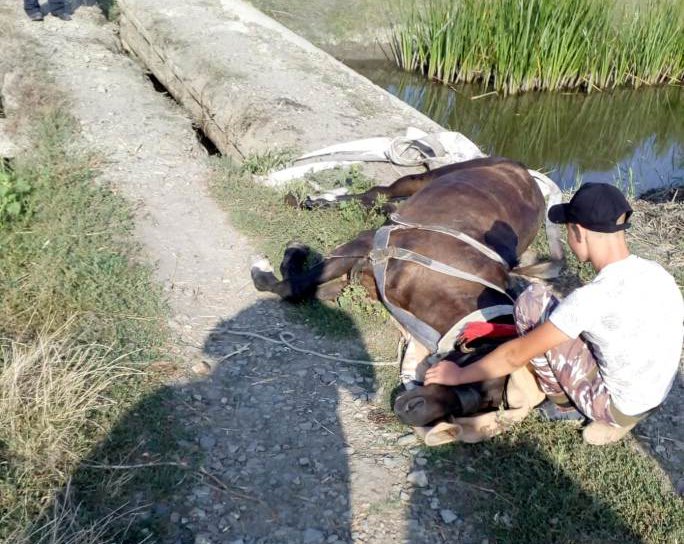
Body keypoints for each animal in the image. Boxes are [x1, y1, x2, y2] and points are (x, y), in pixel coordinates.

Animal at [251, 156, 556, 442]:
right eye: (479, 376)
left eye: (487, 405)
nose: (412, 413)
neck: (453, 283)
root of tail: (527, 173)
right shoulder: (366, 244)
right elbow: (295, 287)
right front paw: (280, 261)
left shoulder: (360, 280)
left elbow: (306, 289)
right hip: (422, 178)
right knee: (378, 192)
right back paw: (308, 202)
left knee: (377, 201)